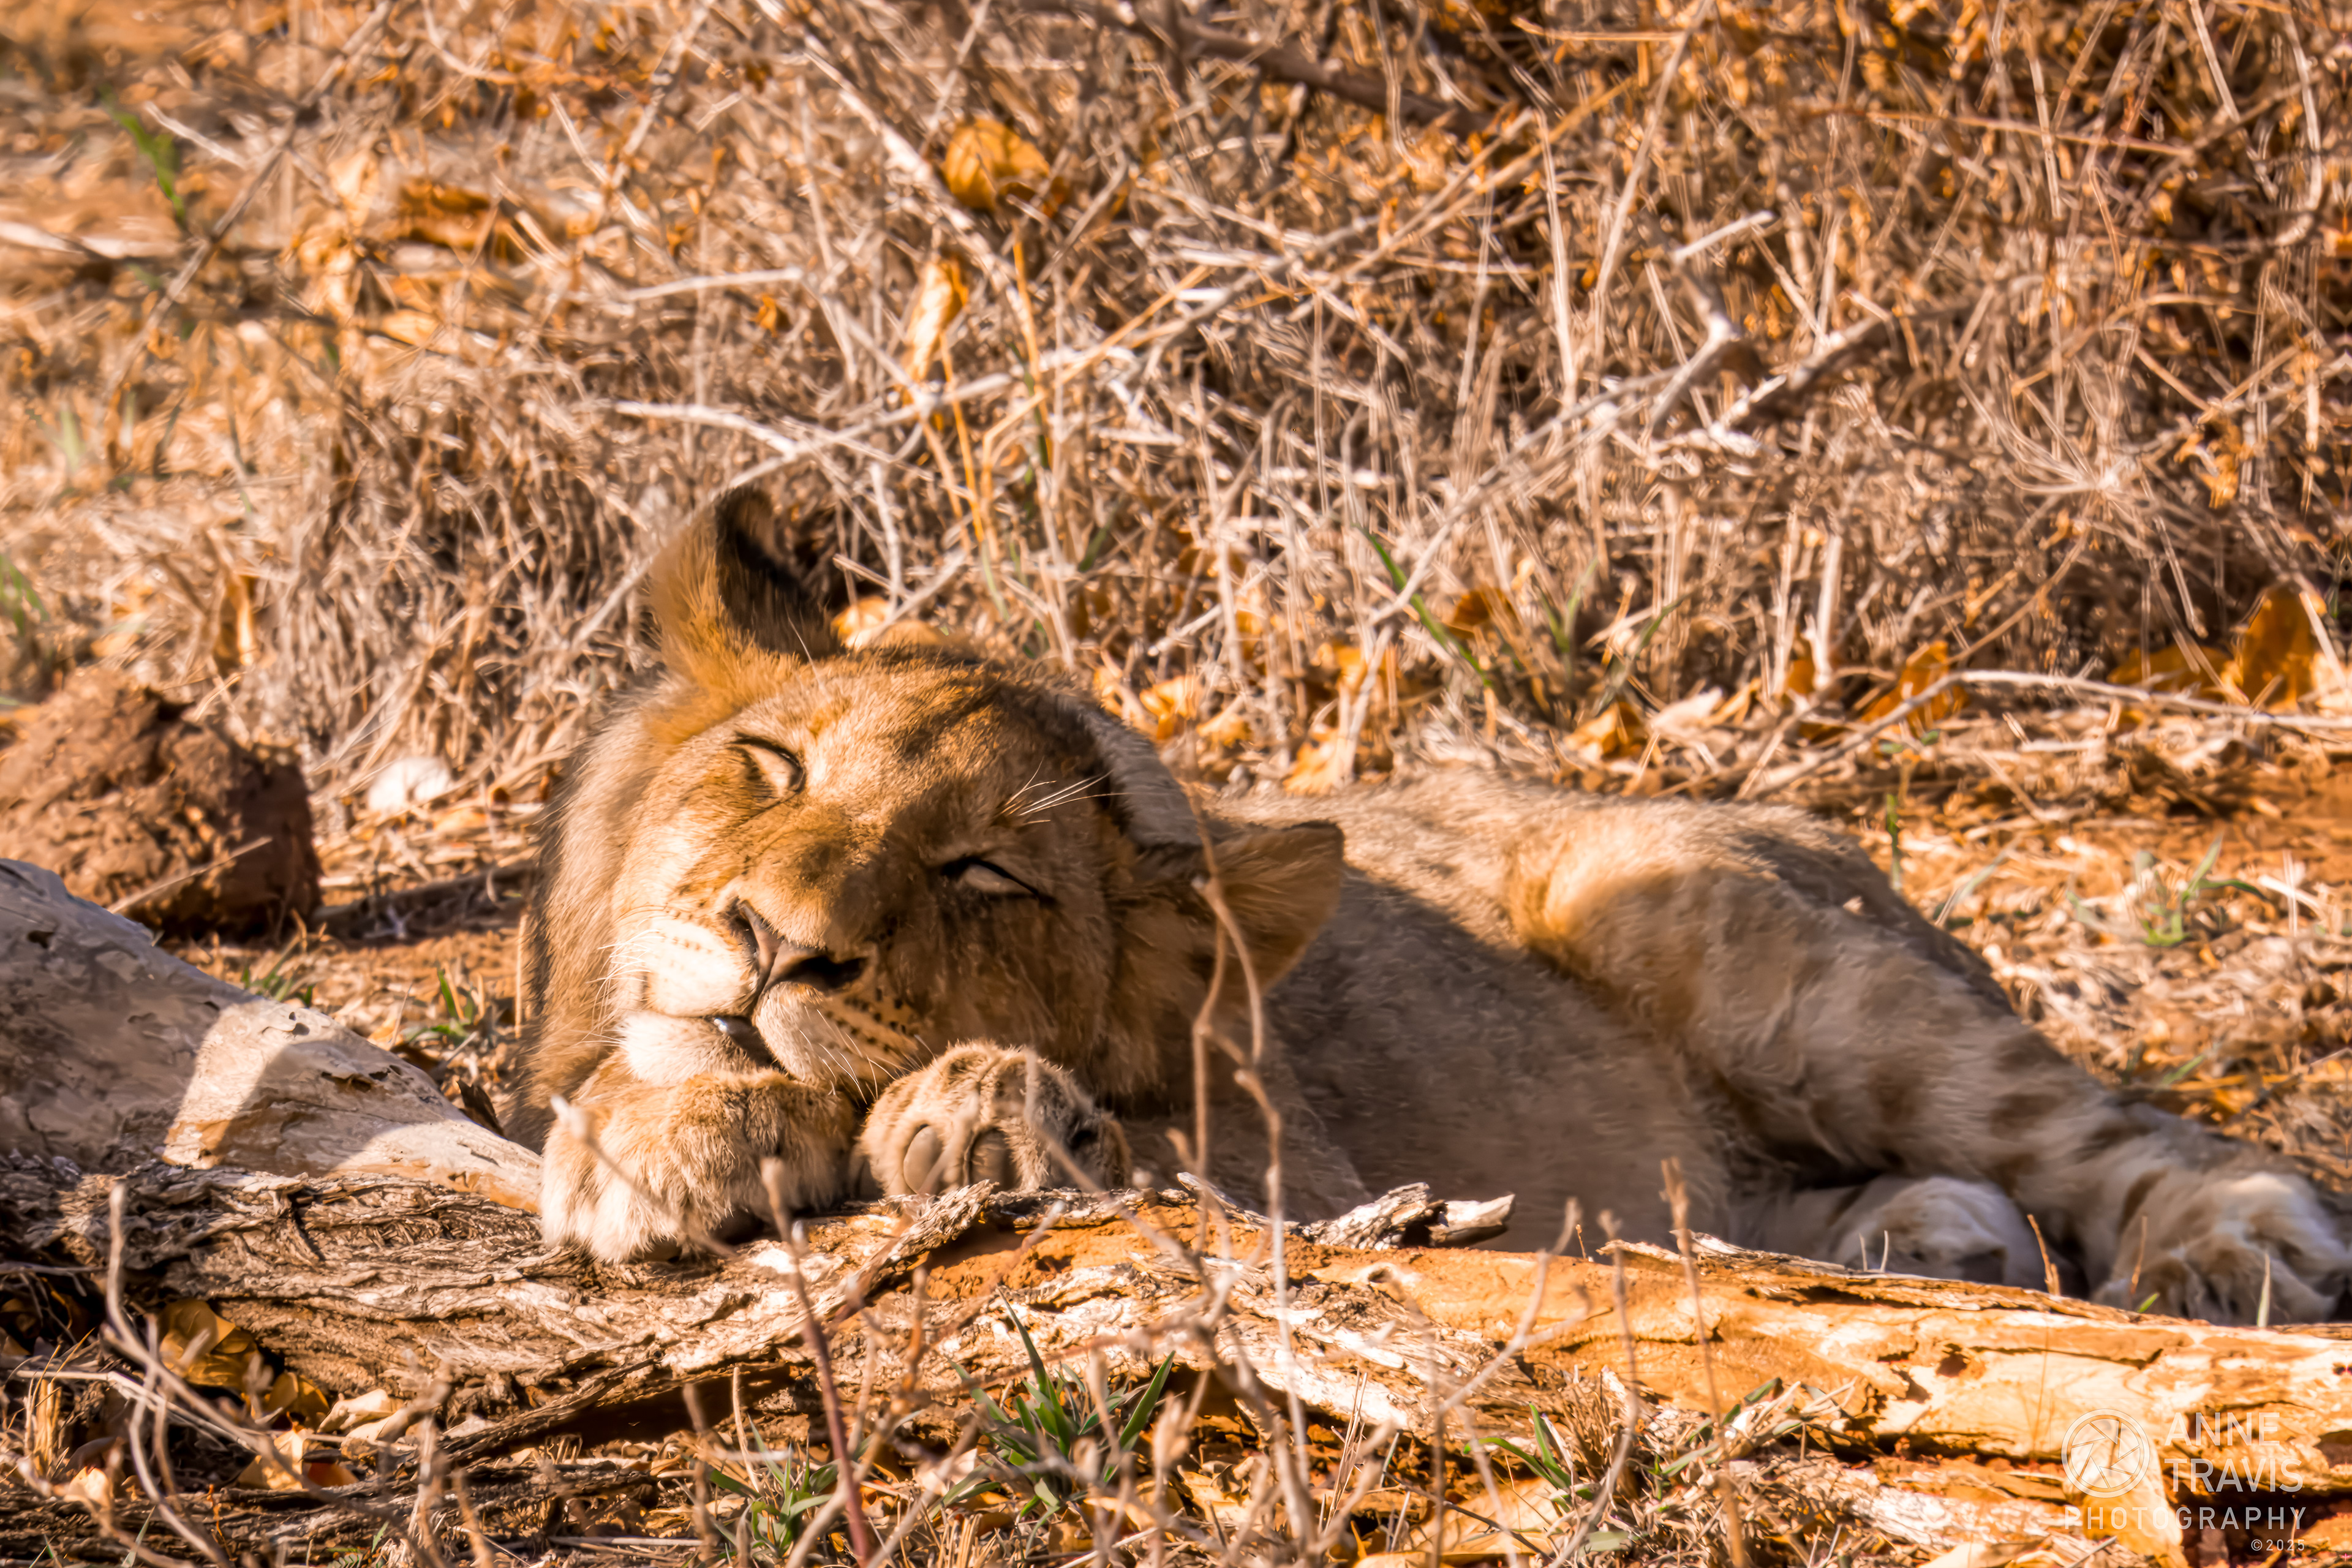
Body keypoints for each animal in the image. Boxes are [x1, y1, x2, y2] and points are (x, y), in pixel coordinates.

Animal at [507, 487, 2350, 1325]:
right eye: (770, 765)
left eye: (985, 874)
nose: (772, 940)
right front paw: (663, 1134)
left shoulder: (1314, 1182)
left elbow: (1127, 1141)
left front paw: (973, 1106)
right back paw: (1931, 1233)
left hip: (1700, 923)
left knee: (2130, 1128)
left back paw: (2239, 1248)